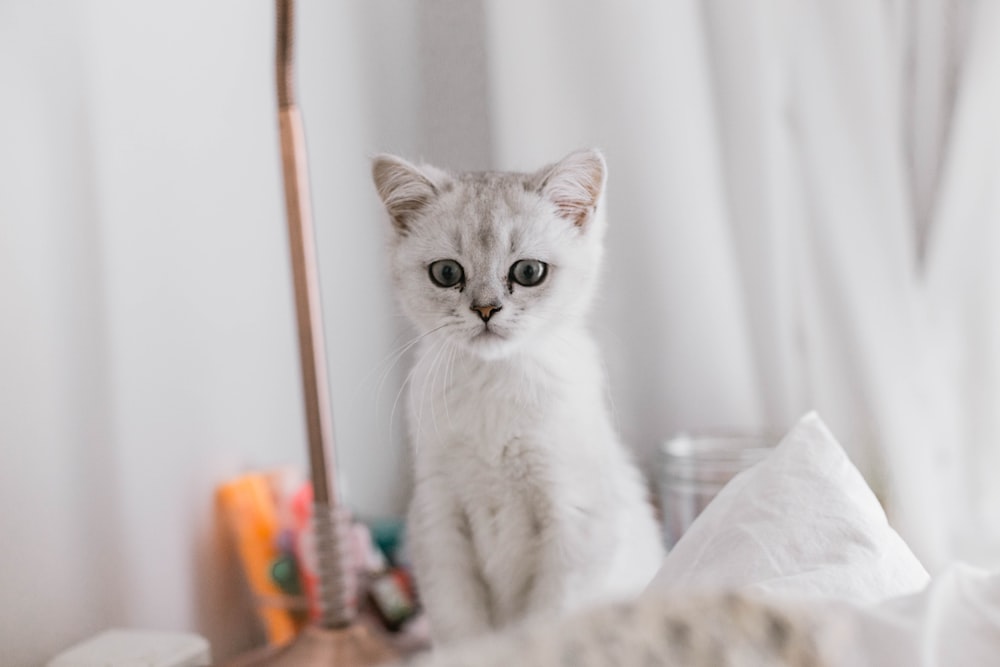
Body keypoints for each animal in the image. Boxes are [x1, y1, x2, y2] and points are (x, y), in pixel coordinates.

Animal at [376, 149, 664, 644]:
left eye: (528, 272)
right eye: (446, 273)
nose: (486, 309)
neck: (493, 385)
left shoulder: (575, 519)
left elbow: (547, 623)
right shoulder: (438, 518)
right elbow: (461, 628)